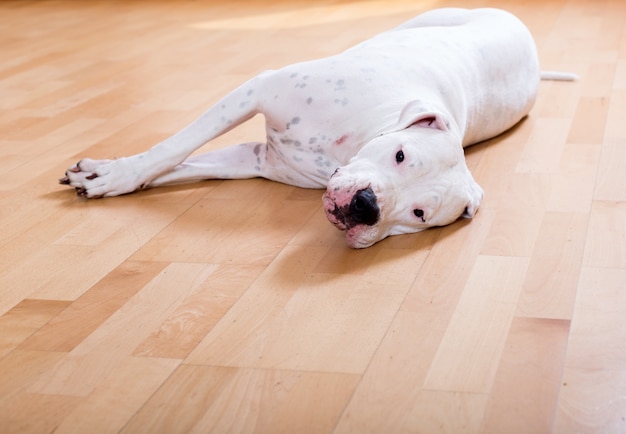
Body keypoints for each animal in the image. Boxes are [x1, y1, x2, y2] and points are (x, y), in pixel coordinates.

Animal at [61, 7, 572, 248]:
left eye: (419, 214)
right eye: (400, 155)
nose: (366, 206)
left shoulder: (254, 160)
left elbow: (185, 165)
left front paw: (108, 177)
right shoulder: (256, 90)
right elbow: (173, 149)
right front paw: (116, 174)